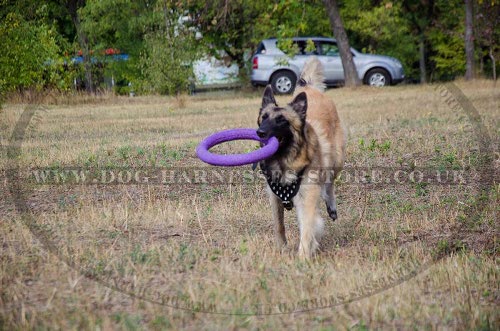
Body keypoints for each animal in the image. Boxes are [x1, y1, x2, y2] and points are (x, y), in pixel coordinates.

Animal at [256, 57, 346, 260]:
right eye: (264, 117)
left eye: (281, 120)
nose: (260, 133)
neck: (285, 160)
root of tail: (310, 88)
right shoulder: (274, 198)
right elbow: (279, 226)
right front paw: (281, 248)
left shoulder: (307, 199)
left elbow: (307, 229)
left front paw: (303, 258)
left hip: (337, 159)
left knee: (329, 183)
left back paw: (331, 205)